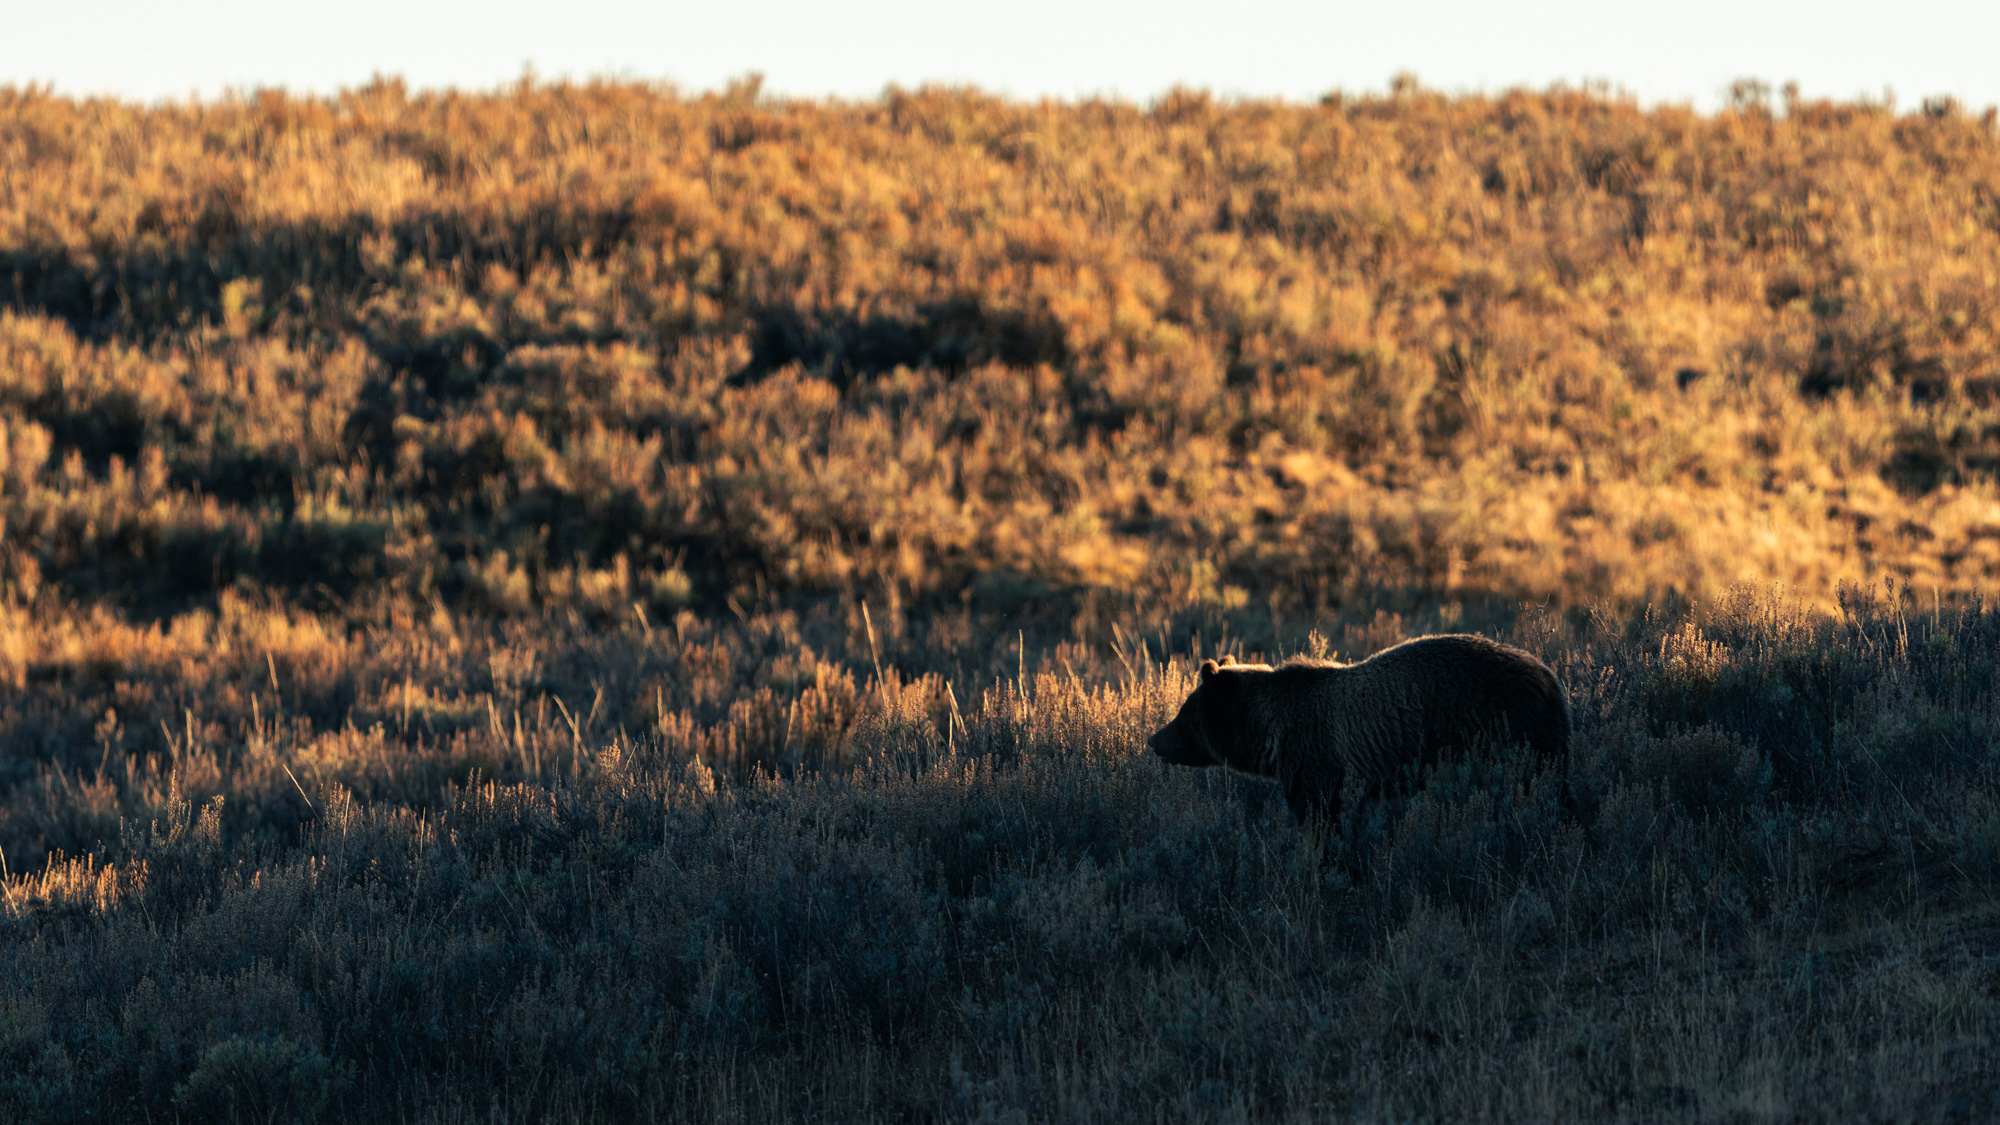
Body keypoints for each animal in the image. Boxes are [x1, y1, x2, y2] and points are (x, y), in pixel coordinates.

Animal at [1145, 633, 1568, 823]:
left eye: (1184, 712)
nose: (1154, 739)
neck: (1269, 735)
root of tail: (1550, 678)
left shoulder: (1315, 761)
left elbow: (1320, 818)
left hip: (1504, 730)